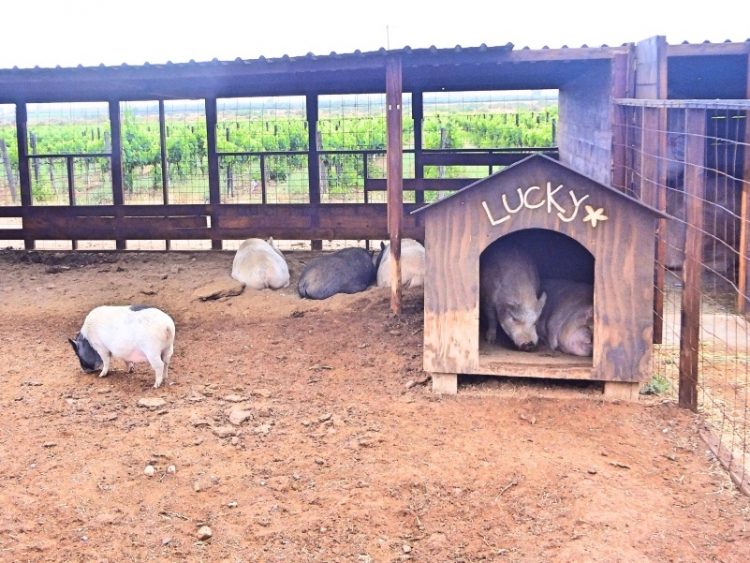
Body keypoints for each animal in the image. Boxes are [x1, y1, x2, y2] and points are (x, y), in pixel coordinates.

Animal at [418, 154, 668, 398]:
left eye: (535, 320)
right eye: (515, 319)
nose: (530, 344)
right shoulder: (487, 296)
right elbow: (489, 315)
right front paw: (490, 338)